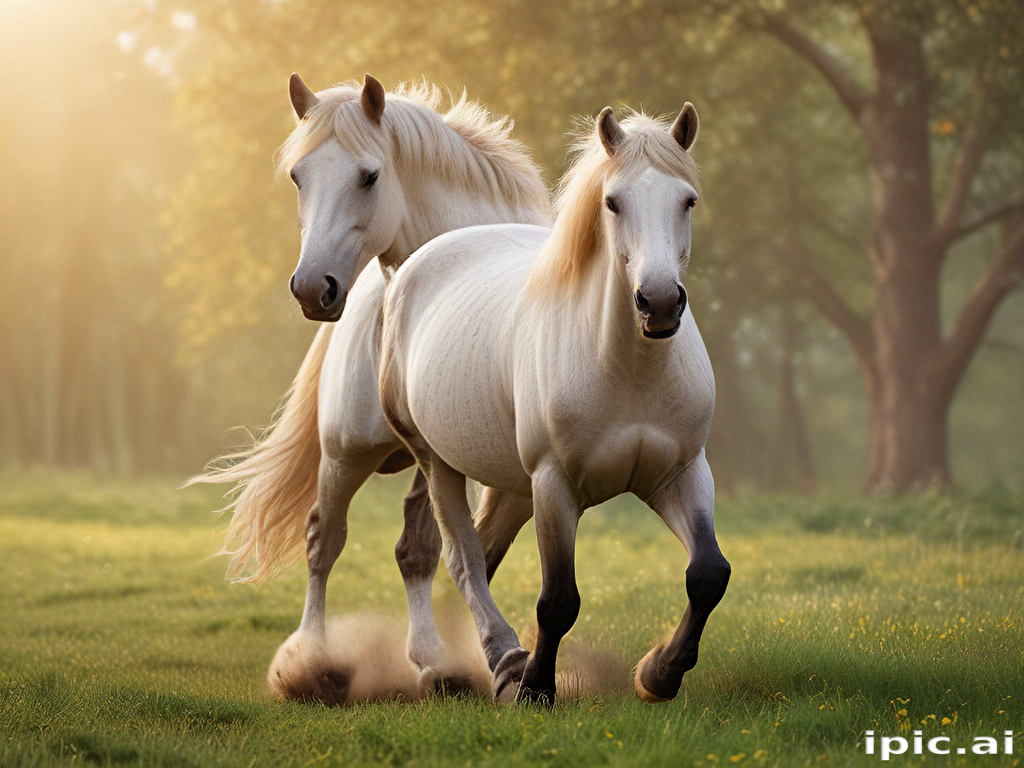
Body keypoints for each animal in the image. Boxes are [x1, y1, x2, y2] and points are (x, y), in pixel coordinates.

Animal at [192, 74, 549, 703]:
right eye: (297, 176)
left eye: (369, 176)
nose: (312, 288)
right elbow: (461, 553)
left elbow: (473, 551)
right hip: (345, 454)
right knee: (323, 539)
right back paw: (313, 662)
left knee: (413, 550)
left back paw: (432, 663)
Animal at [379, 104, 731, 704]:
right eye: (613, 202)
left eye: (687, 200)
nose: (659, 303)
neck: (628, 371)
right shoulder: (555, 484)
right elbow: (558, 600)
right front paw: (537, 690)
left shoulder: (680, 474)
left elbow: (707, 574)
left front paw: (658, 674)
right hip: (437, 461)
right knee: (464, 559)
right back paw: (496, 664)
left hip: (512, 485)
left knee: (485, 552)